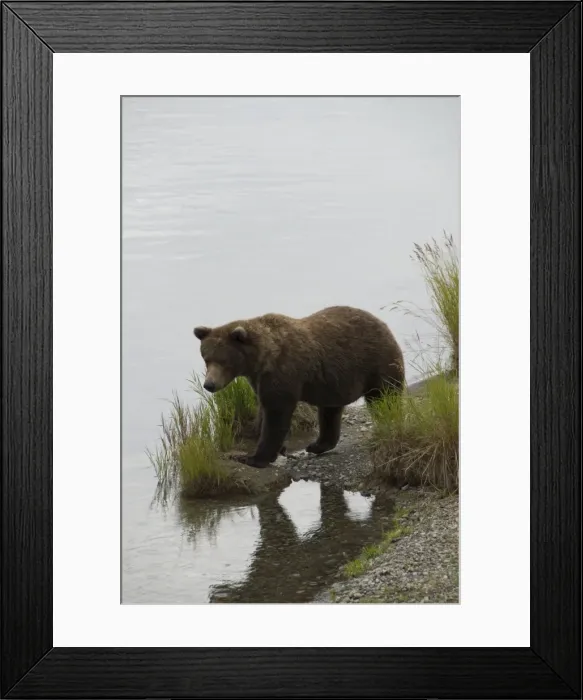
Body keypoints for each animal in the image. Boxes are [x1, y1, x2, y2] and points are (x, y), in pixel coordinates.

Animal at [193, 305, 405, 468]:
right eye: (206, 358)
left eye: (224, 361)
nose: (209, 384)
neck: (260, 360)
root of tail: (384, 324)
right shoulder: (260, 379)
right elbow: (264, 408)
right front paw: (276, 449)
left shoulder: (283, 372)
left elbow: (276, 414)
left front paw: (253, 457)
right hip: (334, 383)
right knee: (329, 411)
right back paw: (318, 445)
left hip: (378, 363)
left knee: (384, 397)